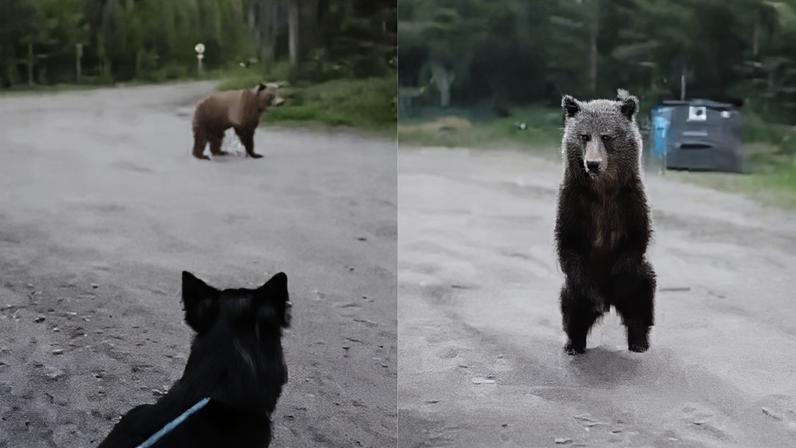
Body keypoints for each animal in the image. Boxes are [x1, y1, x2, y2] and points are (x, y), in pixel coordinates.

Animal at [555, 89, 656, 355]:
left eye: (607, 136)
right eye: (584, 136)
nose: (593, 163)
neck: (602, 191)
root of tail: (613, 303)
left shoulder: (630, 200)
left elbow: (637, 238)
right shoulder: (574, 202)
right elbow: (568, 244)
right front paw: (594, 300)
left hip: (640, 281)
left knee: (642, 300)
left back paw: (639, 342)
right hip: (573, 288)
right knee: (571, 306)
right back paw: (574, 343)